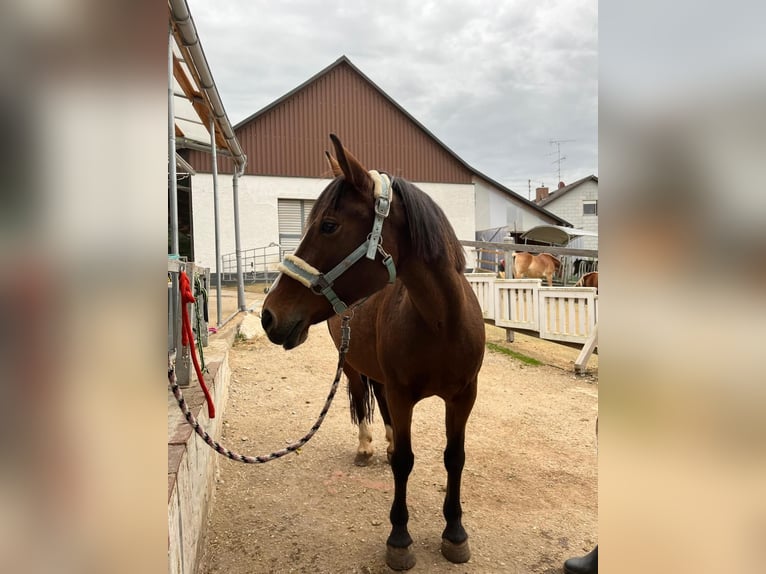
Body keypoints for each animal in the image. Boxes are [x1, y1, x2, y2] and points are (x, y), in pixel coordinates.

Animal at [260, 135, 486, 572]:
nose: (268, 315)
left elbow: (454, 457)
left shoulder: (463, 396)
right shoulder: (402, 394)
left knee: (378, 402)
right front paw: (399, 539)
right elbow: (405, 461)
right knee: (363, 400)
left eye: (329, 225)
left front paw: (455, 532)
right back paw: (367, 446)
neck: (441, 323)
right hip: (350, 366)